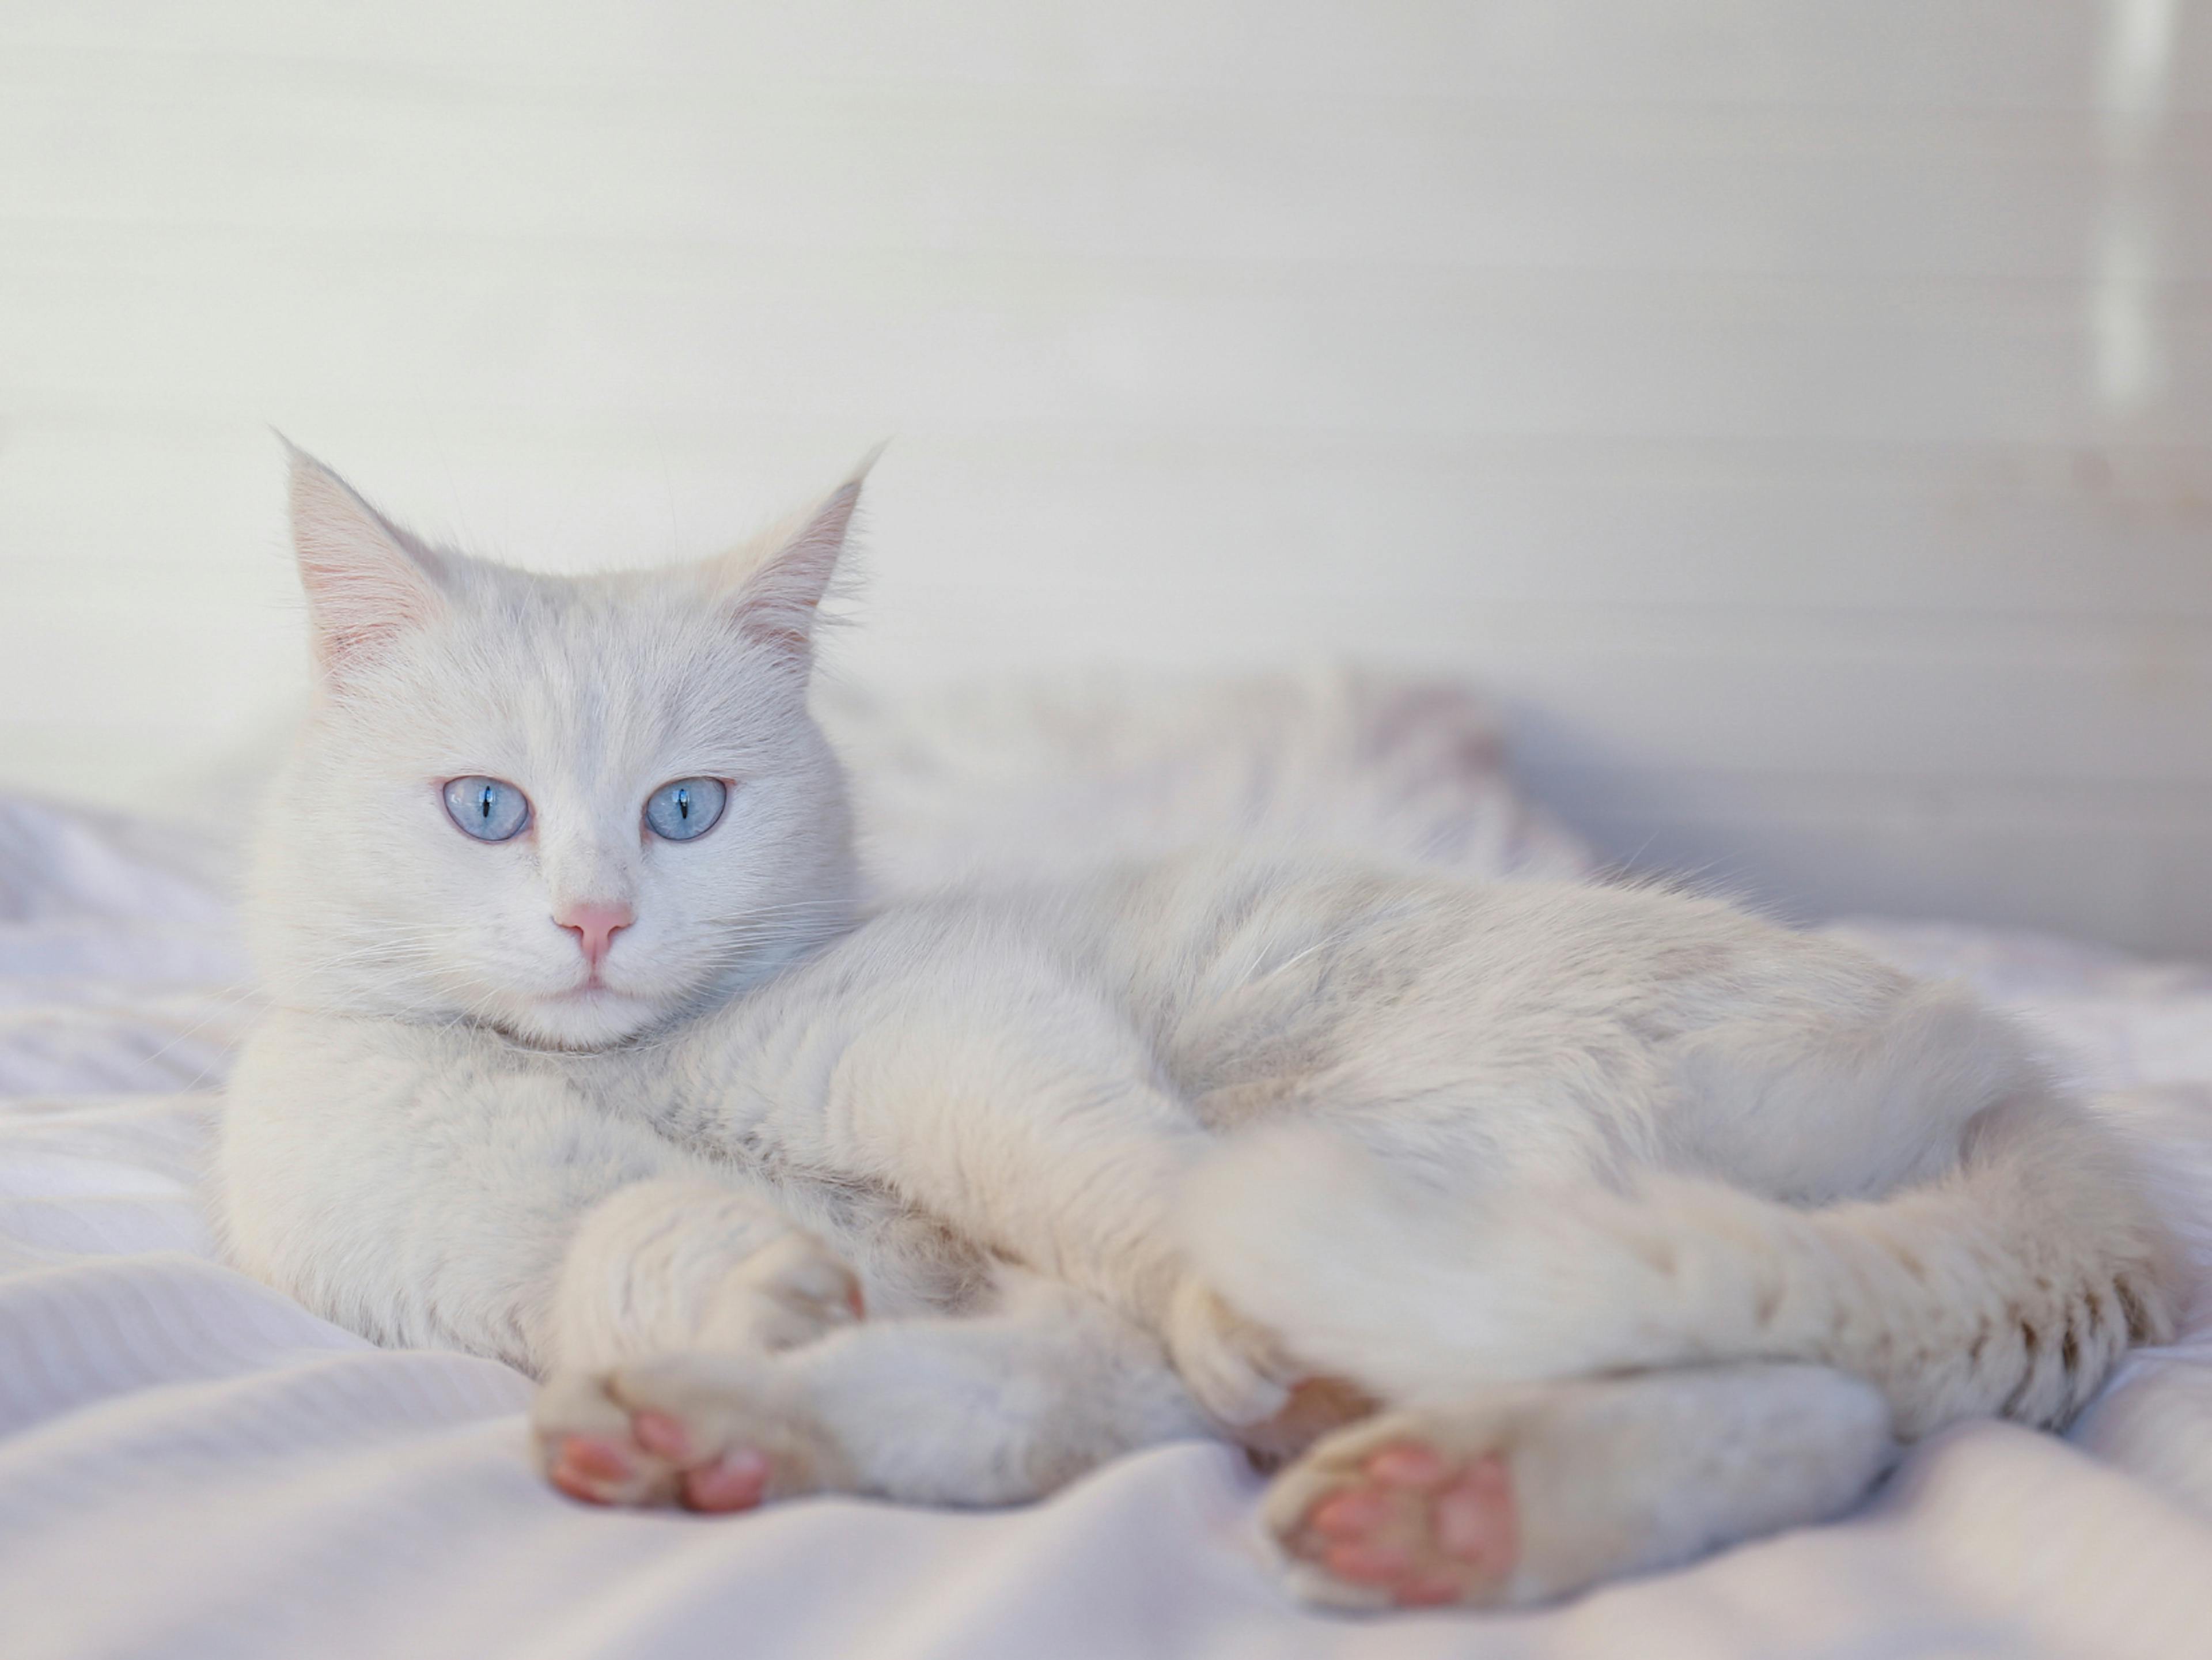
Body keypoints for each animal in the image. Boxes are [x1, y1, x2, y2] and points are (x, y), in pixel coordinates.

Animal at [220, 451, 2176, 1611]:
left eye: (687, 811)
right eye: (486, 811)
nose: (596, 922)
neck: (624, 1072)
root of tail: (2030, 1092)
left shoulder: (956, 1032)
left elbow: (1114, 1187)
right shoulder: (438, 1230)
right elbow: (618, 1241)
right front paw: (746, 1278)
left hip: (1437, 1136)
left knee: (1761, 1381)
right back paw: (713, 1433)